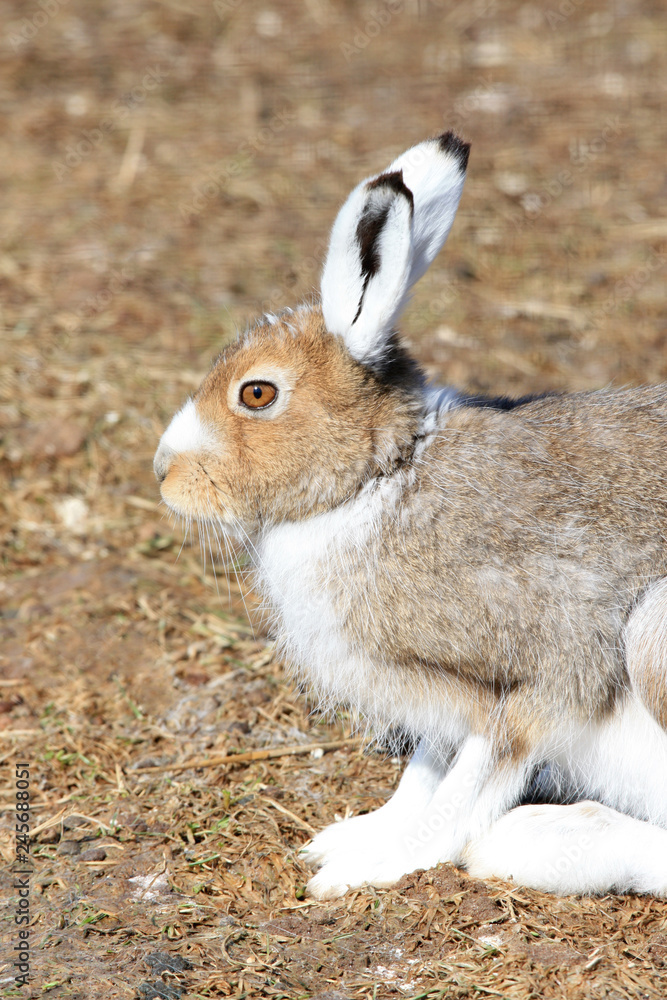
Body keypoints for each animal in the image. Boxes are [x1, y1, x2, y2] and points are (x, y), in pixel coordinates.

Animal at [154, 132, 667, 900]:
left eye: (256, 393)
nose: (163, 472)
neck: (383, 475)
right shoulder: (443, 701)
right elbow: (425, 771)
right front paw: (352, 836)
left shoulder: (536, 671)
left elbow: (465, 791)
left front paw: (361, 868)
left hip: (651, 634)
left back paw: (539, 843)